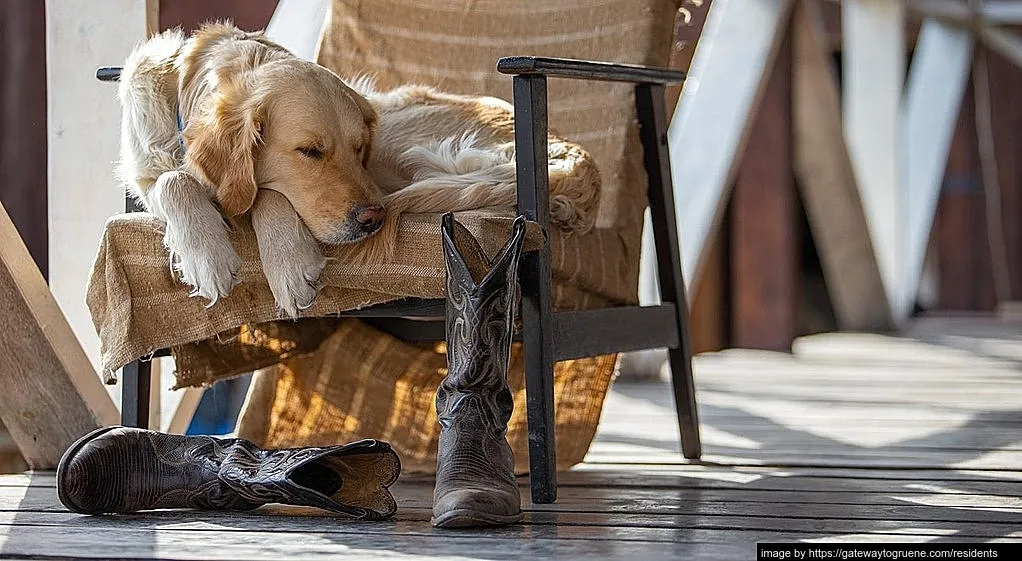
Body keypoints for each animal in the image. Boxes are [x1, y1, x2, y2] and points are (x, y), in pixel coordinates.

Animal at [117, 21, 596, 316]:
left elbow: (267, 192)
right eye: (310, 151)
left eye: (358, 147)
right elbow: (173, 180)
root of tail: (573, 156)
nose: (372, 219)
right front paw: (206, 254)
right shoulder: (147, 172)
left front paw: (289, 263)